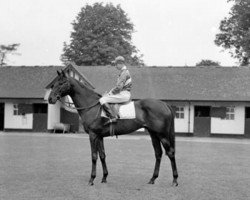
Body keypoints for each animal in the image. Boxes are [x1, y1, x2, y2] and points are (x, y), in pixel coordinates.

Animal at [48, 70, 178, 186]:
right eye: (53, 84)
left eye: (61, 83)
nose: (50, 99)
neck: (91, 106)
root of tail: (164, 104)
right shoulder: (99, 136)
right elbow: (102, 156)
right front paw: (104, 177)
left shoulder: (93, 135)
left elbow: (94, 157)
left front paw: (91, 179)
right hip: (153, 134)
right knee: (158, 153)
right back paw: (152, 179)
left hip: (162, 135)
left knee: (170, 153)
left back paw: (175, 180)